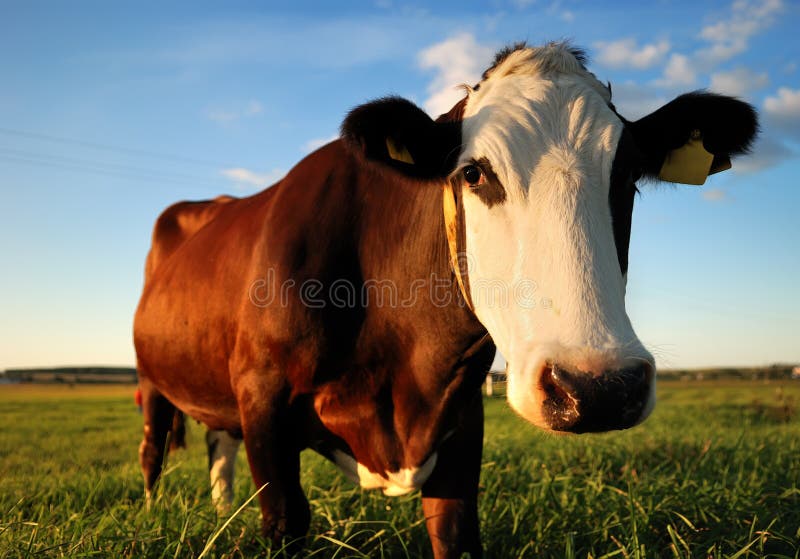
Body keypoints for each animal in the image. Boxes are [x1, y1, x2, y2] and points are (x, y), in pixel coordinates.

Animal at [134, 41, 757, 558]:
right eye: (474, 172)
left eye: (627, 177)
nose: (598, 388)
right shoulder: (262, 397)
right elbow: (285, 518)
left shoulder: (461, 414)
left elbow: (454, 533)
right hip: (151, 380)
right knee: (153, 450)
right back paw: (151, 509)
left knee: (217, 442)